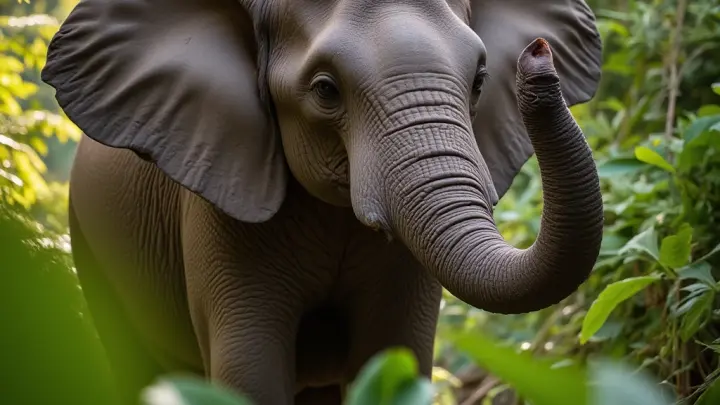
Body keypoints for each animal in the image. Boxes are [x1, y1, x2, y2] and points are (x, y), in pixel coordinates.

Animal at [41, 0, 604, 404]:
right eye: (326, 90)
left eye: (480, 81)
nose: (538, 55)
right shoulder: (216, 213)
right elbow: (249, 369)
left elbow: (393, 354)